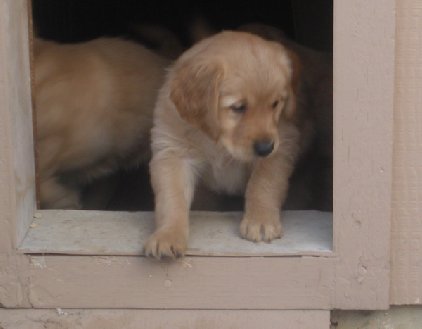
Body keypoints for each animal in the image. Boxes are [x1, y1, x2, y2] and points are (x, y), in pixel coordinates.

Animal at [144, 30, 314, 258]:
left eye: (275, 104)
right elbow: (172, 198)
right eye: (238, 107)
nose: (265, 148)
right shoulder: (172, 152)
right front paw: (167, 235)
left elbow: (263, 183)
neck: (217, 142)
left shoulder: (282, 143)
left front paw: (261, 220)